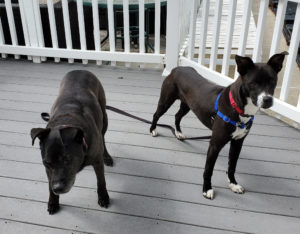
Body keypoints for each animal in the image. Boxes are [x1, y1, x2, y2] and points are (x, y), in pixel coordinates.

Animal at [30, 70, 112, 214]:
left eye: (67, 159)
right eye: (47, 163)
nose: (57, 188)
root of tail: (80, 70)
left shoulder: (97, 161)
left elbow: (101, 181)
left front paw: (103, 197)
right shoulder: (48, 171)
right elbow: (49, 185)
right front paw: (53, 202)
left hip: (104, 117)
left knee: (103, 136)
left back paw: (107, 156)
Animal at [150, 52, 288, 199]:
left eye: (272, 81)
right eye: (253, 83)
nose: (268, 100)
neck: (238, 108)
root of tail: (177, 68)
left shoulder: (237, 143)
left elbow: (232, 166)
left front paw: (233, 184)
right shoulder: (215, 144)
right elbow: (208, 169)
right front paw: (207, 189)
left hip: (187, 105)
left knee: (177, 116)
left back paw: (178, 133)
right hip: (166, 101)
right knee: (156, 114)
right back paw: (152, 129)